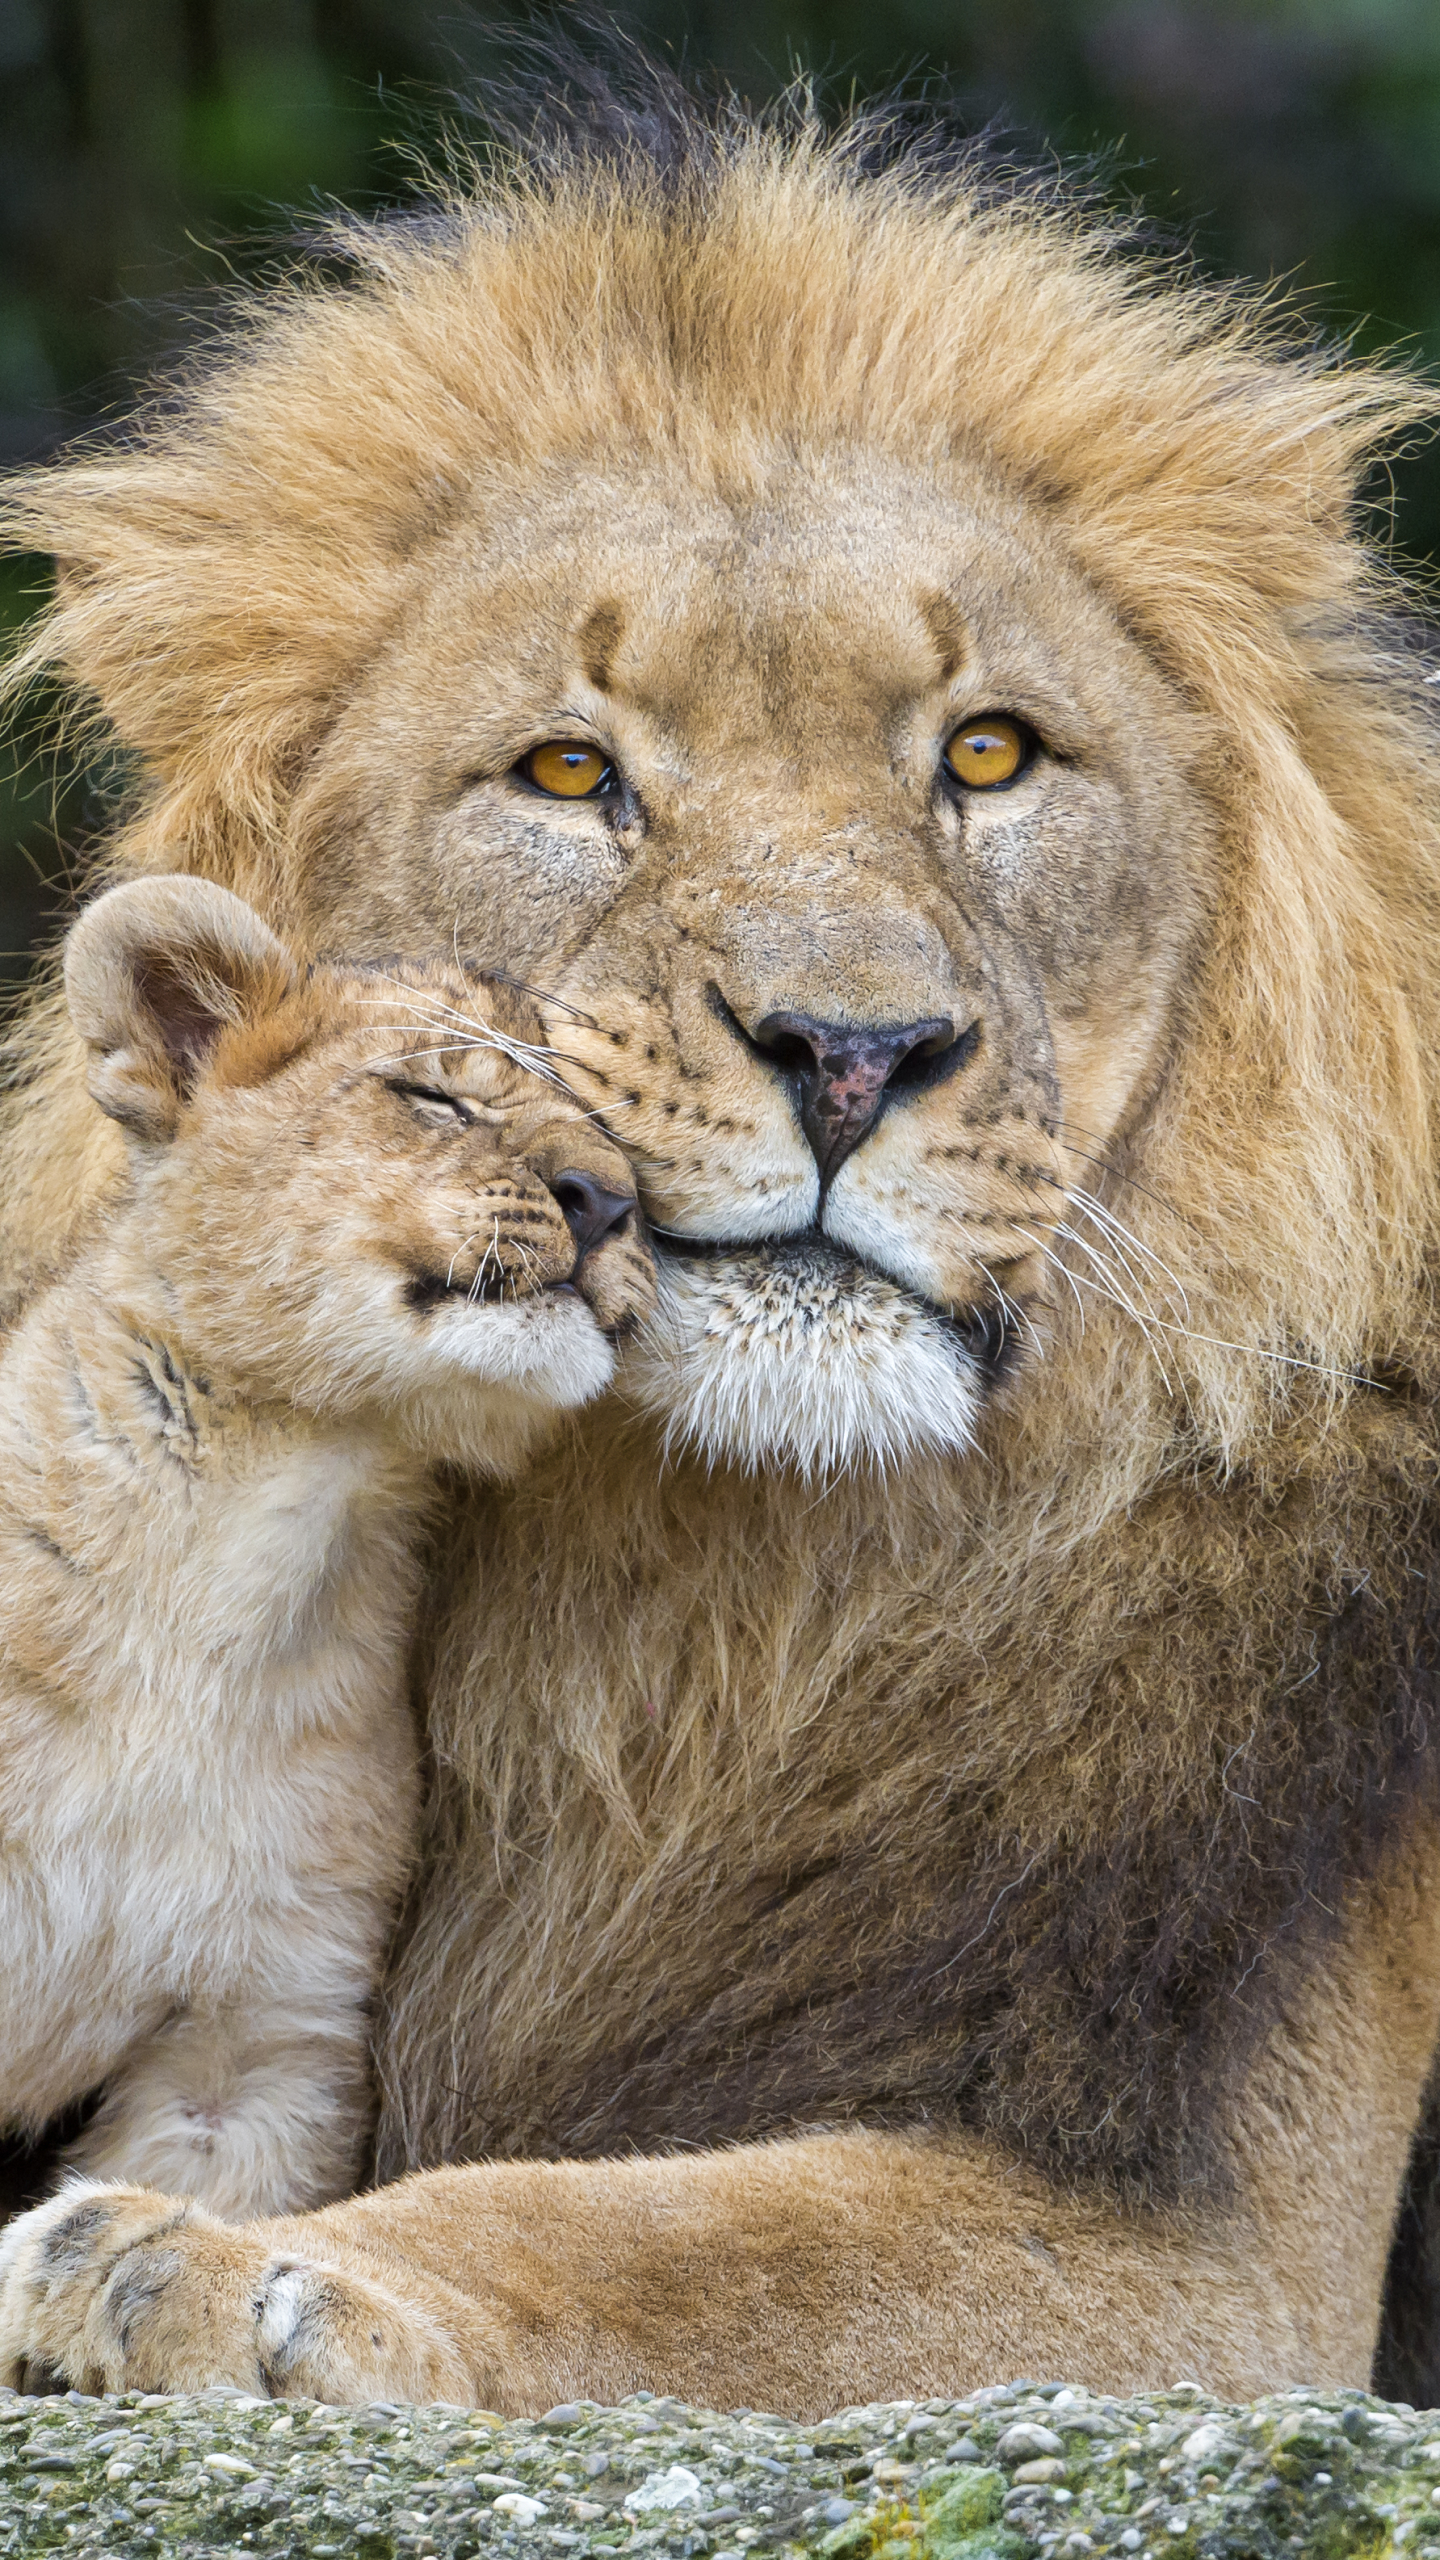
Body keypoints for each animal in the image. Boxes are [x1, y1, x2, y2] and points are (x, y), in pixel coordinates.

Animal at [0, 60, 1434, 2406]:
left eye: (989, 752)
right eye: (572, 772)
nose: (852, 1051)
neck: (708, 1605)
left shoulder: (1231, 2271)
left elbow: (670, 2237)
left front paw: (235, 2267)